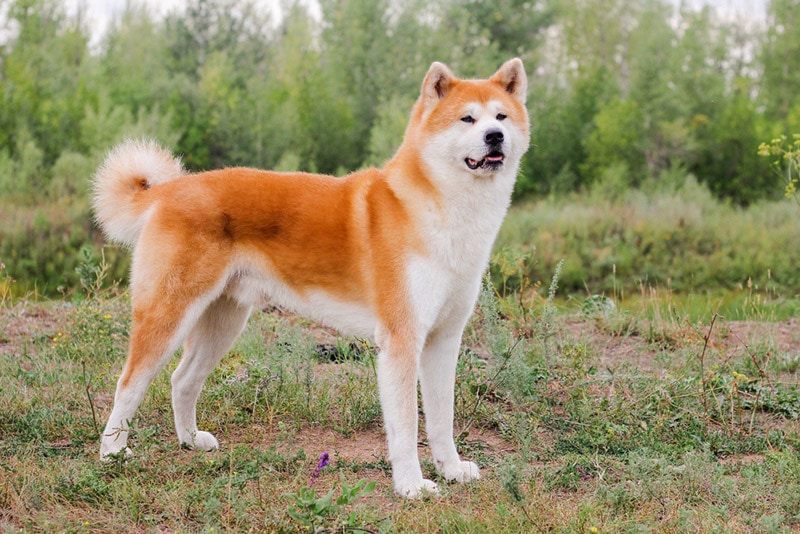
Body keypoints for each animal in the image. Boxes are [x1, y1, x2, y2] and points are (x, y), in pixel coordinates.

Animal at [94, 57, 528, 498]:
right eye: (467, 119)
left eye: (501, 117)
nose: (494, 136)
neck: (443, 212)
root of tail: (169, 191)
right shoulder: (401, 341)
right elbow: (406, 427)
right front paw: (411, 486)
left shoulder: (444, 339)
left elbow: (442, 420)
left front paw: (451, 470)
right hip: (168, 316)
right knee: (128, 384)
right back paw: (113, 454)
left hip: (223, 323)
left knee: (182, 380)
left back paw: (189, 442)